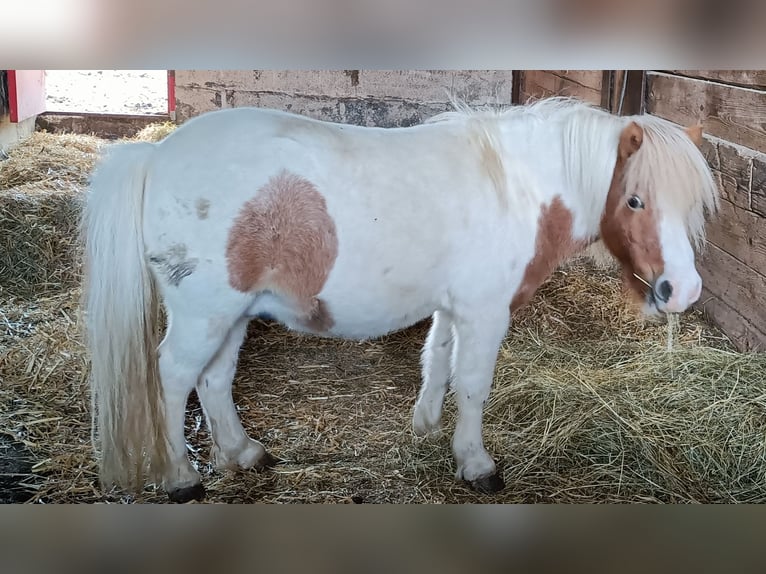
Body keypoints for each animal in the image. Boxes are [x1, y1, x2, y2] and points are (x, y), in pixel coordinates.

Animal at [81, 97, 724, 502]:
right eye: (636, 200)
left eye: (692, 203)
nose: (683, 291)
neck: (516, 188)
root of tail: (155, 155)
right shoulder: (485, 313)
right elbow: (473, 383)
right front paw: (475, 463)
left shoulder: (453, 307)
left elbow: (436, 360)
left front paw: (426, 425)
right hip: (203, 315)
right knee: (172, 377)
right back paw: (181, 477)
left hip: (231, 315)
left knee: (213, 379)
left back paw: (241, 453)